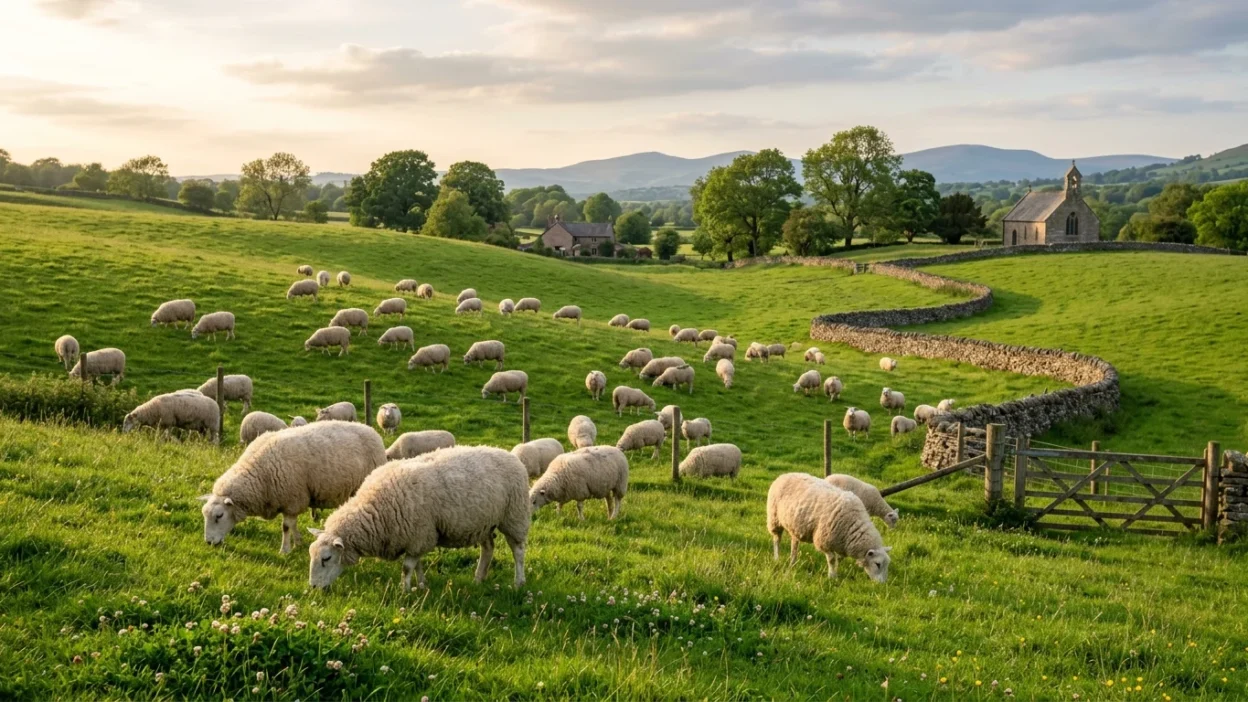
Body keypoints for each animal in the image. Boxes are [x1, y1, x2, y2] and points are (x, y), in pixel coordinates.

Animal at [202, 421, 387, 553]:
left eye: (219, 516)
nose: (209, 543)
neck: (260, 476)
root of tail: (371, 430)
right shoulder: (292, 502)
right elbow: (293, 525)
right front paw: (298, 542)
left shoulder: (292, 499)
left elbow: (286, 527)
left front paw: (285, 550)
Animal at [307, 446, 529, 590]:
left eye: (326, 558)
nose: (313, 587)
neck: (375, 509)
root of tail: (508, 454)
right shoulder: (417, 536)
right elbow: (418, 564)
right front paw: (421, 585)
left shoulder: (419, 535)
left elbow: (407, 568)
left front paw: (404, 590)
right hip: (483, 521)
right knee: (488, 548)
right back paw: (479, 578)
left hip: (514, 516)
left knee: (518, 551)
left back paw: (518, 582)